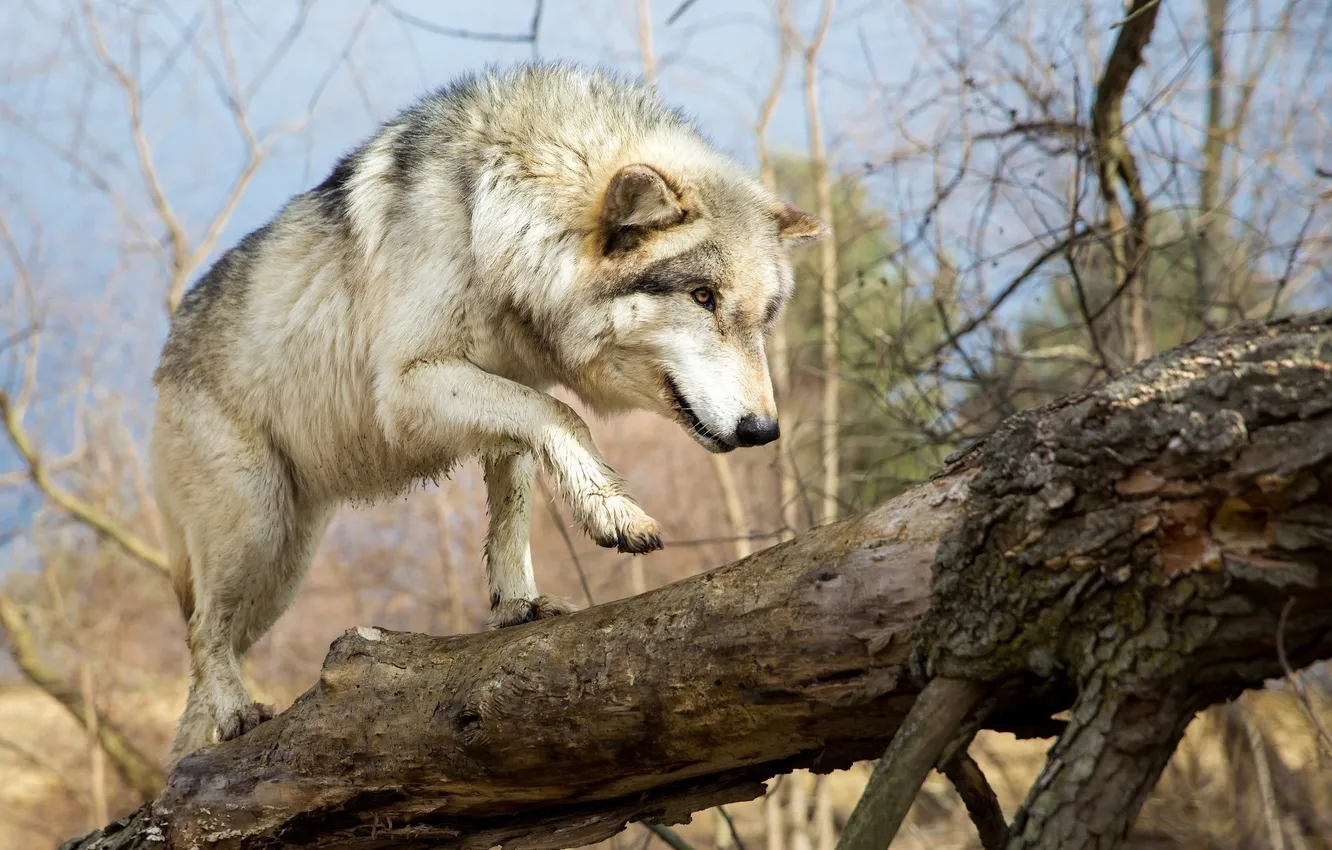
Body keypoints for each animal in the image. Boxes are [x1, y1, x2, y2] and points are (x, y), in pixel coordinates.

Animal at [150, 61, 825, 765]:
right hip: (257, 531)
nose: (764, 431)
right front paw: (614, 514)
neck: (495, 221)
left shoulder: (506, 394)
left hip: (284, 569)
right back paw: (234, 714)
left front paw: (515, 606)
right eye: (702, 296)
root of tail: (163, 361)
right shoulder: (411, 387)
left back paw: (190, 758)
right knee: (200, 631)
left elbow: (513, 508)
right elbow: (565, 418)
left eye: (764, 317)